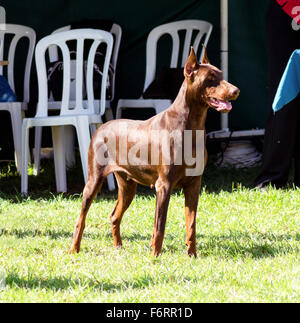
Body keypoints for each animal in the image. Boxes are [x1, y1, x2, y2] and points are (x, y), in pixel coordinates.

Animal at [68, 47, 239, 258]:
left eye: (221, 75)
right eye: (211, 78)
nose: (236, 91)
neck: (191, 125)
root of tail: (101, 128)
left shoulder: (194, 184)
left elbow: (191, 224)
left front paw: (192, 255)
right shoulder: (163, 185)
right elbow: (159, 225)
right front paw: (155, 256)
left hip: (127, 185)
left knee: (114, 215)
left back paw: (118, 247)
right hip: (94, 179)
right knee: (81, 218)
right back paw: (74, 249)